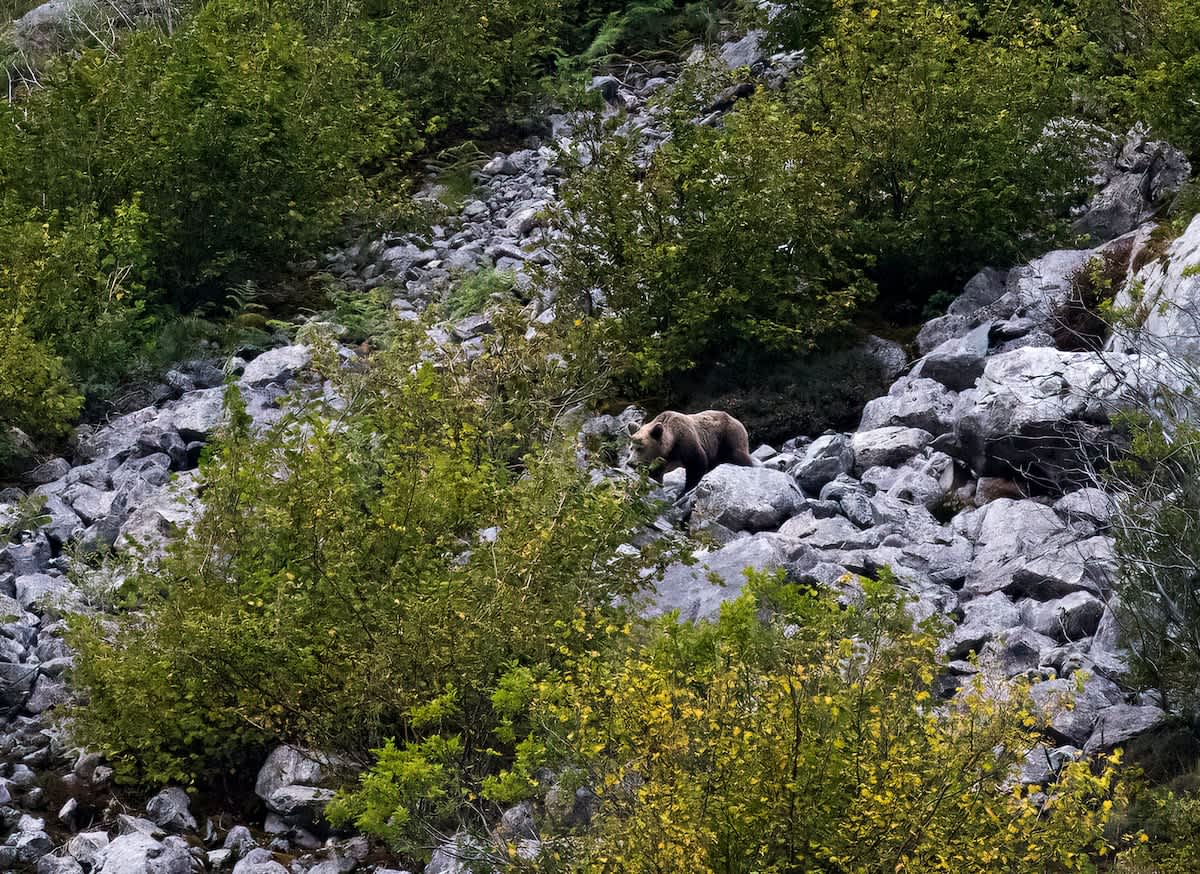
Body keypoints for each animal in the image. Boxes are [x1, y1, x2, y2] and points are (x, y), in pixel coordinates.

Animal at [624, 410, 753, 492]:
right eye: (631, 448)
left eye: (641, 448)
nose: (630, 463)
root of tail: (737, 421)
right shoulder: (662, 460)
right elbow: (656, 475)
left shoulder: (687, 442)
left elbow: (697, 465)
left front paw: (685, 491)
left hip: (728, 438)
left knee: (739, 456)